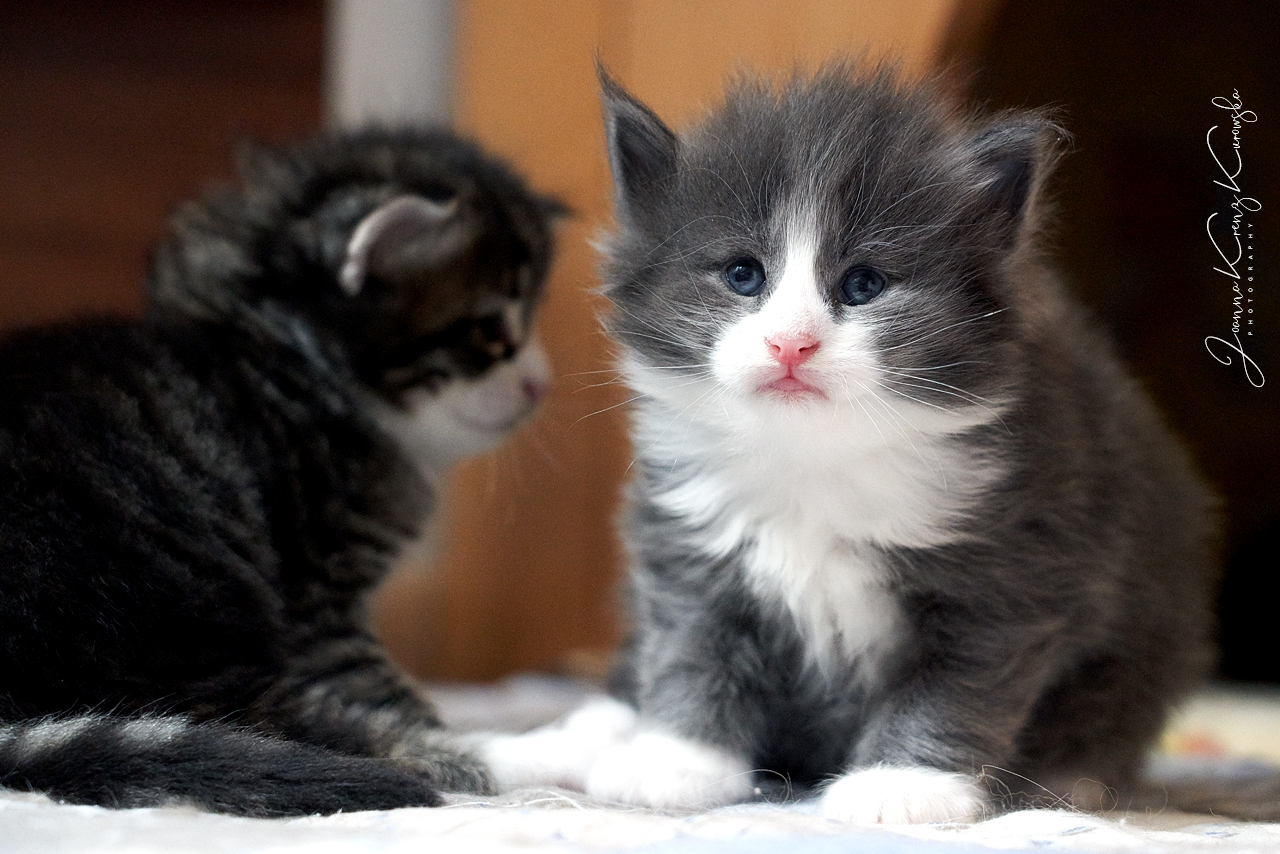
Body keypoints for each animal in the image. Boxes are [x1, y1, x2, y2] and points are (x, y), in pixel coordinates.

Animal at [0, 128, 561, 816]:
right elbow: (388, 695)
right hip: (163, 614)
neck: (285, 356)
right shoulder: (320, 599)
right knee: (277, 722)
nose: (541, 384)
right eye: (490, 329)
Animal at [482, 64, 1219, 824]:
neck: (815, 462)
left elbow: (952, 686)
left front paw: (904, 785)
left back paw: (1073, 781)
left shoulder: (1014, 565)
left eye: (863, 284)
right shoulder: (691, 548)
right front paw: (678, 761)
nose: (791, 343)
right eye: (743, 275)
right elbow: (693, 650)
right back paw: (549, 749)